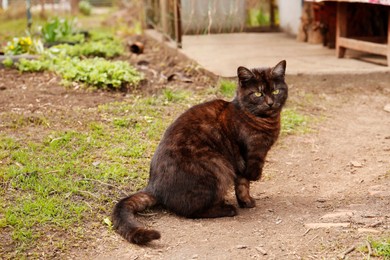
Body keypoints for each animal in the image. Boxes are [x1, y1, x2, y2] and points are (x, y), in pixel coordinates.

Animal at [111, 60, 288, 245]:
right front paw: (253, 181)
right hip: (218, 166)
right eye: (258, 94)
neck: (265, 121)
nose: (270, 102)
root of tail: (154, 186)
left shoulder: (240, 161)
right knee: (191, 211)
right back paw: (227, 209)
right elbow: (249, 175)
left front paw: (246, 201)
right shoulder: (250, 153)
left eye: (275, 91)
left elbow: (242, 185)